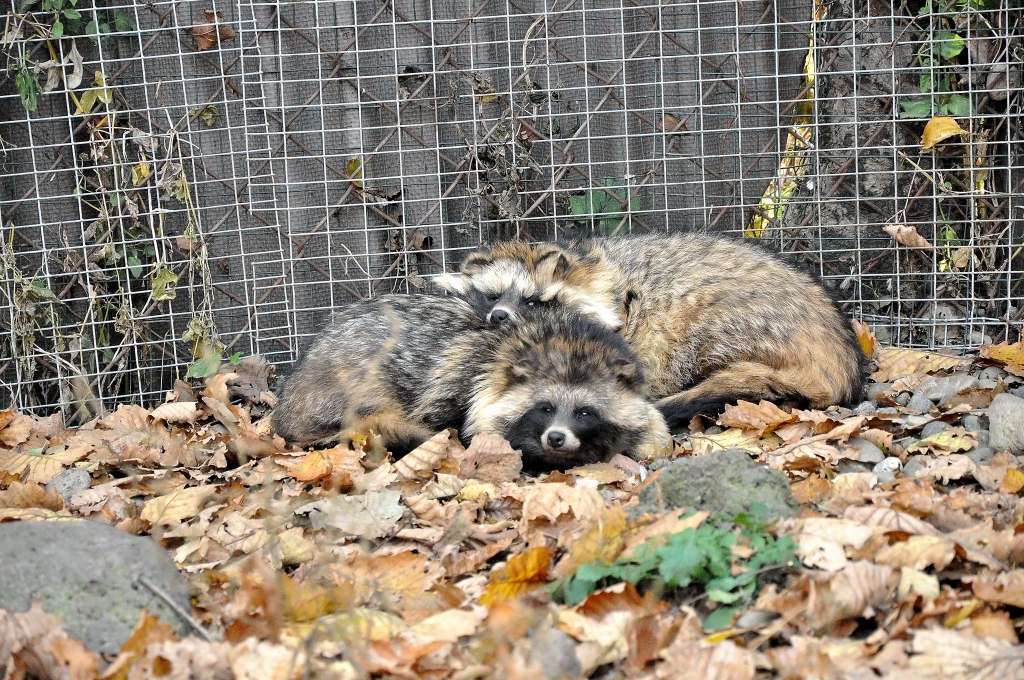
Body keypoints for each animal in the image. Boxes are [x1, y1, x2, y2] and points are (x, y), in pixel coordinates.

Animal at [272, 294, 671, 471]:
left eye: (585, 412)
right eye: (544, 408)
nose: (556, 437)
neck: (565, 340)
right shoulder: (457, 377)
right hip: (349, 374)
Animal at [436, 231, 868, 428]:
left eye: (531, 300)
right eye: (492, 296)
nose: (499, 317)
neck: (594, 268)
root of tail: (841, 355)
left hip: (731, 312)